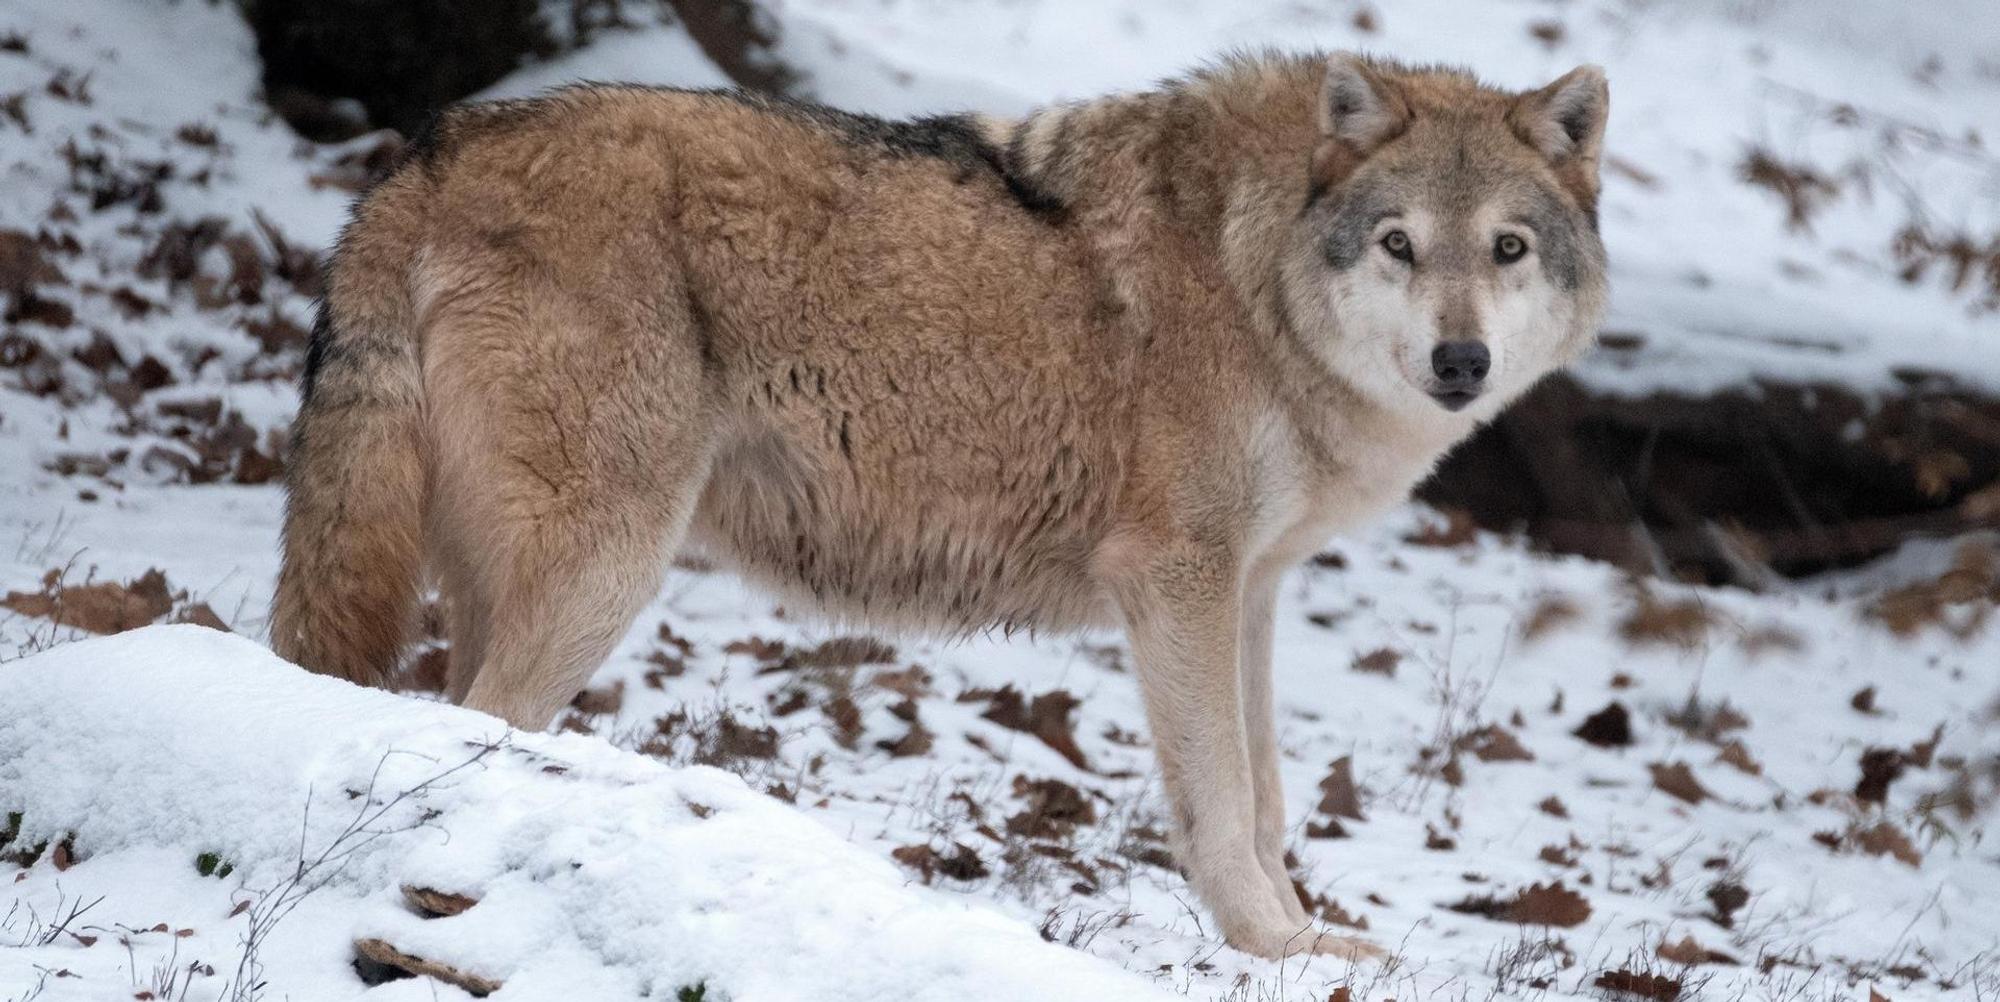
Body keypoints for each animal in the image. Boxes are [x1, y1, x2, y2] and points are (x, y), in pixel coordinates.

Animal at [271, 51, 1608, 959]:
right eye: (1396, 244)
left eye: (1504, 250)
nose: (1459, 362)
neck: (1252, 276)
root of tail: (430, 149)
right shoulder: (1174, 581)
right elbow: (1223, 801)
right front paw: (1272, 950)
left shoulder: (1252, 591)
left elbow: (1270, 795)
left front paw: (1306, 941)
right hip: (606, 567)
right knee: (470, 723)